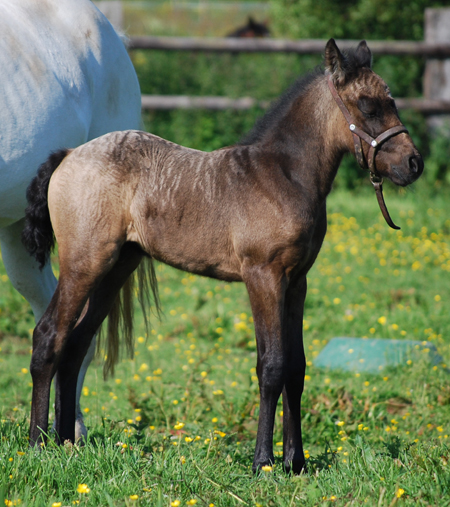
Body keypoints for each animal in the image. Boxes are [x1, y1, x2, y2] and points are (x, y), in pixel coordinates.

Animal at [22, 38, 422, 472]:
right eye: (367, 106)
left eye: (392, 101)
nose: (414, 163)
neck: (282, 175)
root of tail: (68, 154)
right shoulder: (264, 276)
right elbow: (272, 366)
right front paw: (263, 462)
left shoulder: (297, 282)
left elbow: (296, 368)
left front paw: (295, 463)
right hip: (84, 264)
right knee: (49, 336)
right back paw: (37, 444)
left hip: (116, 268)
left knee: (76, 345)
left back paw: (67, 443)